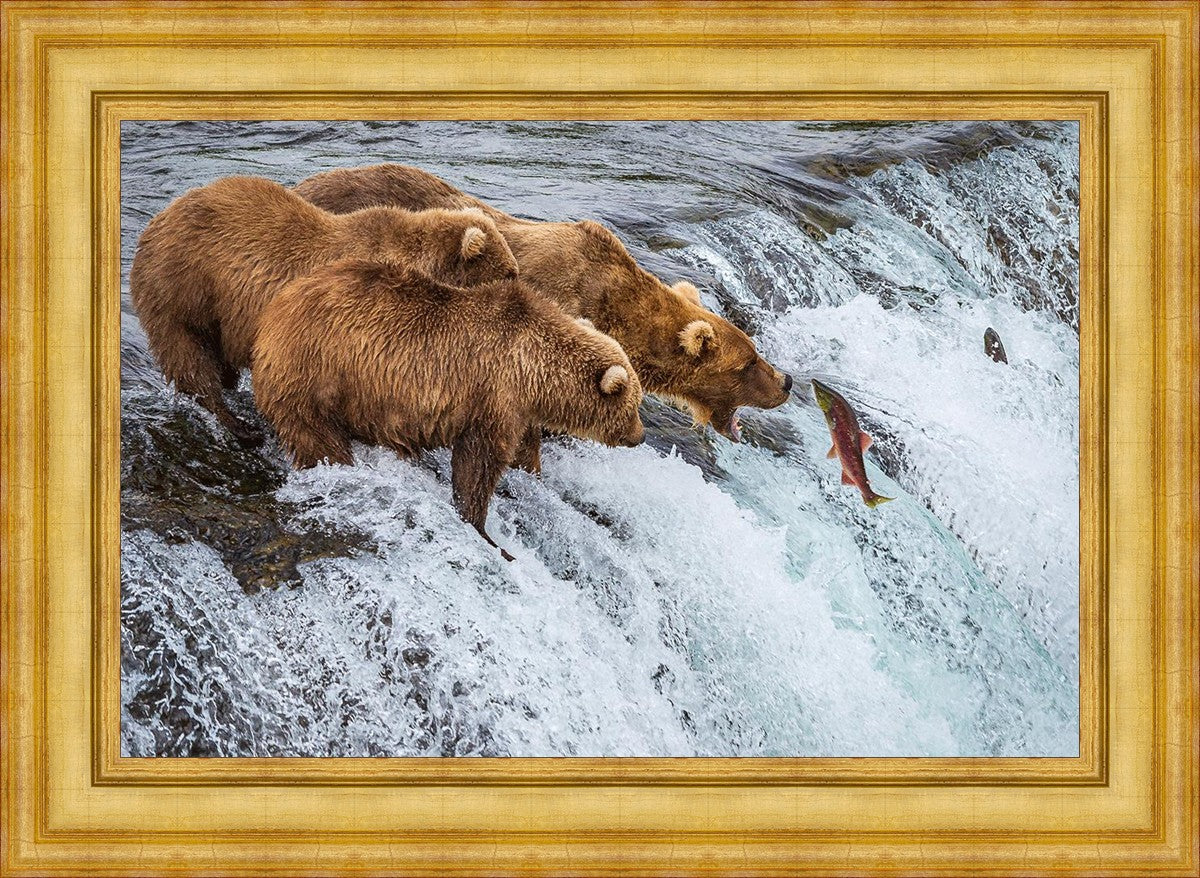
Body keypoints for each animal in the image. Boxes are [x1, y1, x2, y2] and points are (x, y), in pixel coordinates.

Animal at [130, 175, 519, 447]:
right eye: (509, 272)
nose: (520, 285)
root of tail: (157, 220)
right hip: (184, 288)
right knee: (189, 358)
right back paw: (239, 426)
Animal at [252, 258, 646, 559]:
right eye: (634, 405)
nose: (640, 436)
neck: (534, 370)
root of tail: (273, 313)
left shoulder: (518, 409)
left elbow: (522, 451)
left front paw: (531, 475)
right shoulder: (493, 395)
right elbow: (478, 464)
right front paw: (485, 531)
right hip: (315, 374)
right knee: (318, 437)